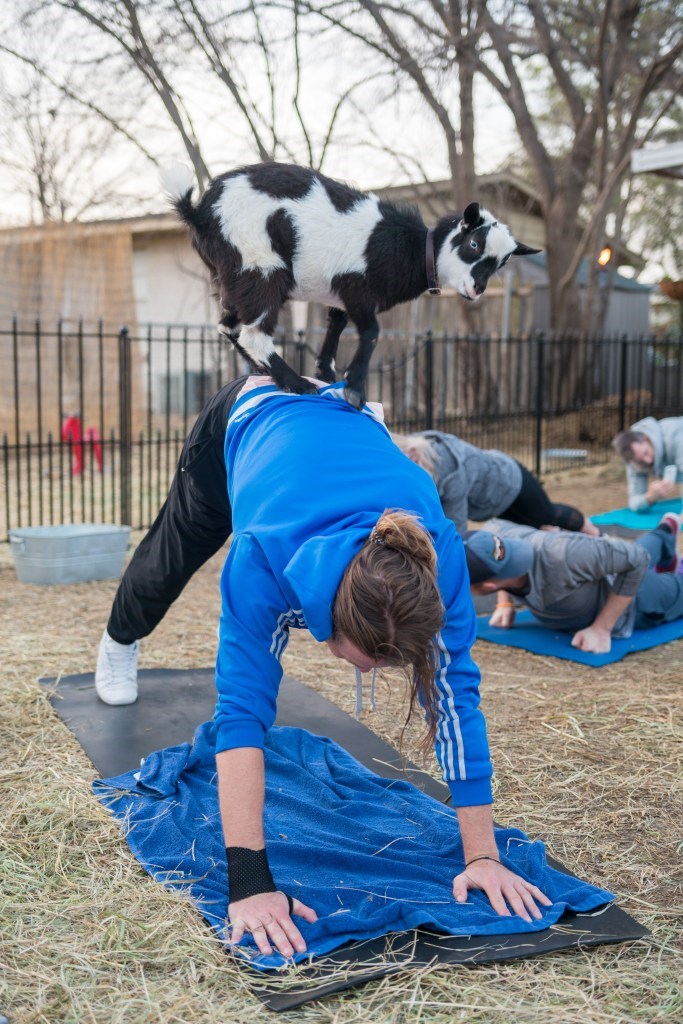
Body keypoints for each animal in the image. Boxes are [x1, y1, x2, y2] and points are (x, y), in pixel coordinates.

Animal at [160, 161, 540, 405]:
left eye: (503, 262)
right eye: (474, 244)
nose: (477, 289)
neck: (408, 247)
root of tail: (200, 212)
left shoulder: (340, 296)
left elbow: (336, 325)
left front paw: (328, 373)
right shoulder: (356, 287)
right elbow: (371, 332)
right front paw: (355, 391)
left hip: (232, 276)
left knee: (229, 326)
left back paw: (266, 371)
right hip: (261, 266)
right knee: (254, 332)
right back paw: (297, 384)